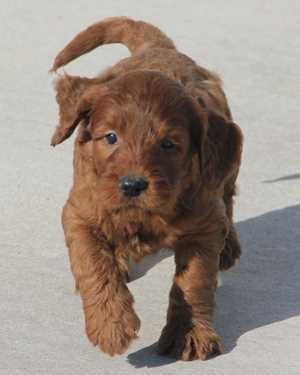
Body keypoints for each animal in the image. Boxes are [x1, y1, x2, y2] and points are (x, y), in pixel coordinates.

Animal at [51, 16, 244, 362]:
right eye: (110, 137)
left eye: (169, 144)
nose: (133, 184)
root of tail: (158, 48)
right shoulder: (80, 213)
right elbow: (93, 265)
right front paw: (111, 325)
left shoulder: (203, 226)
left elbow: (193, 282)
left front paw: (188, 335)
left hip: (227, 161)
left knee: (227, 195)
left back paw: (229, 247)